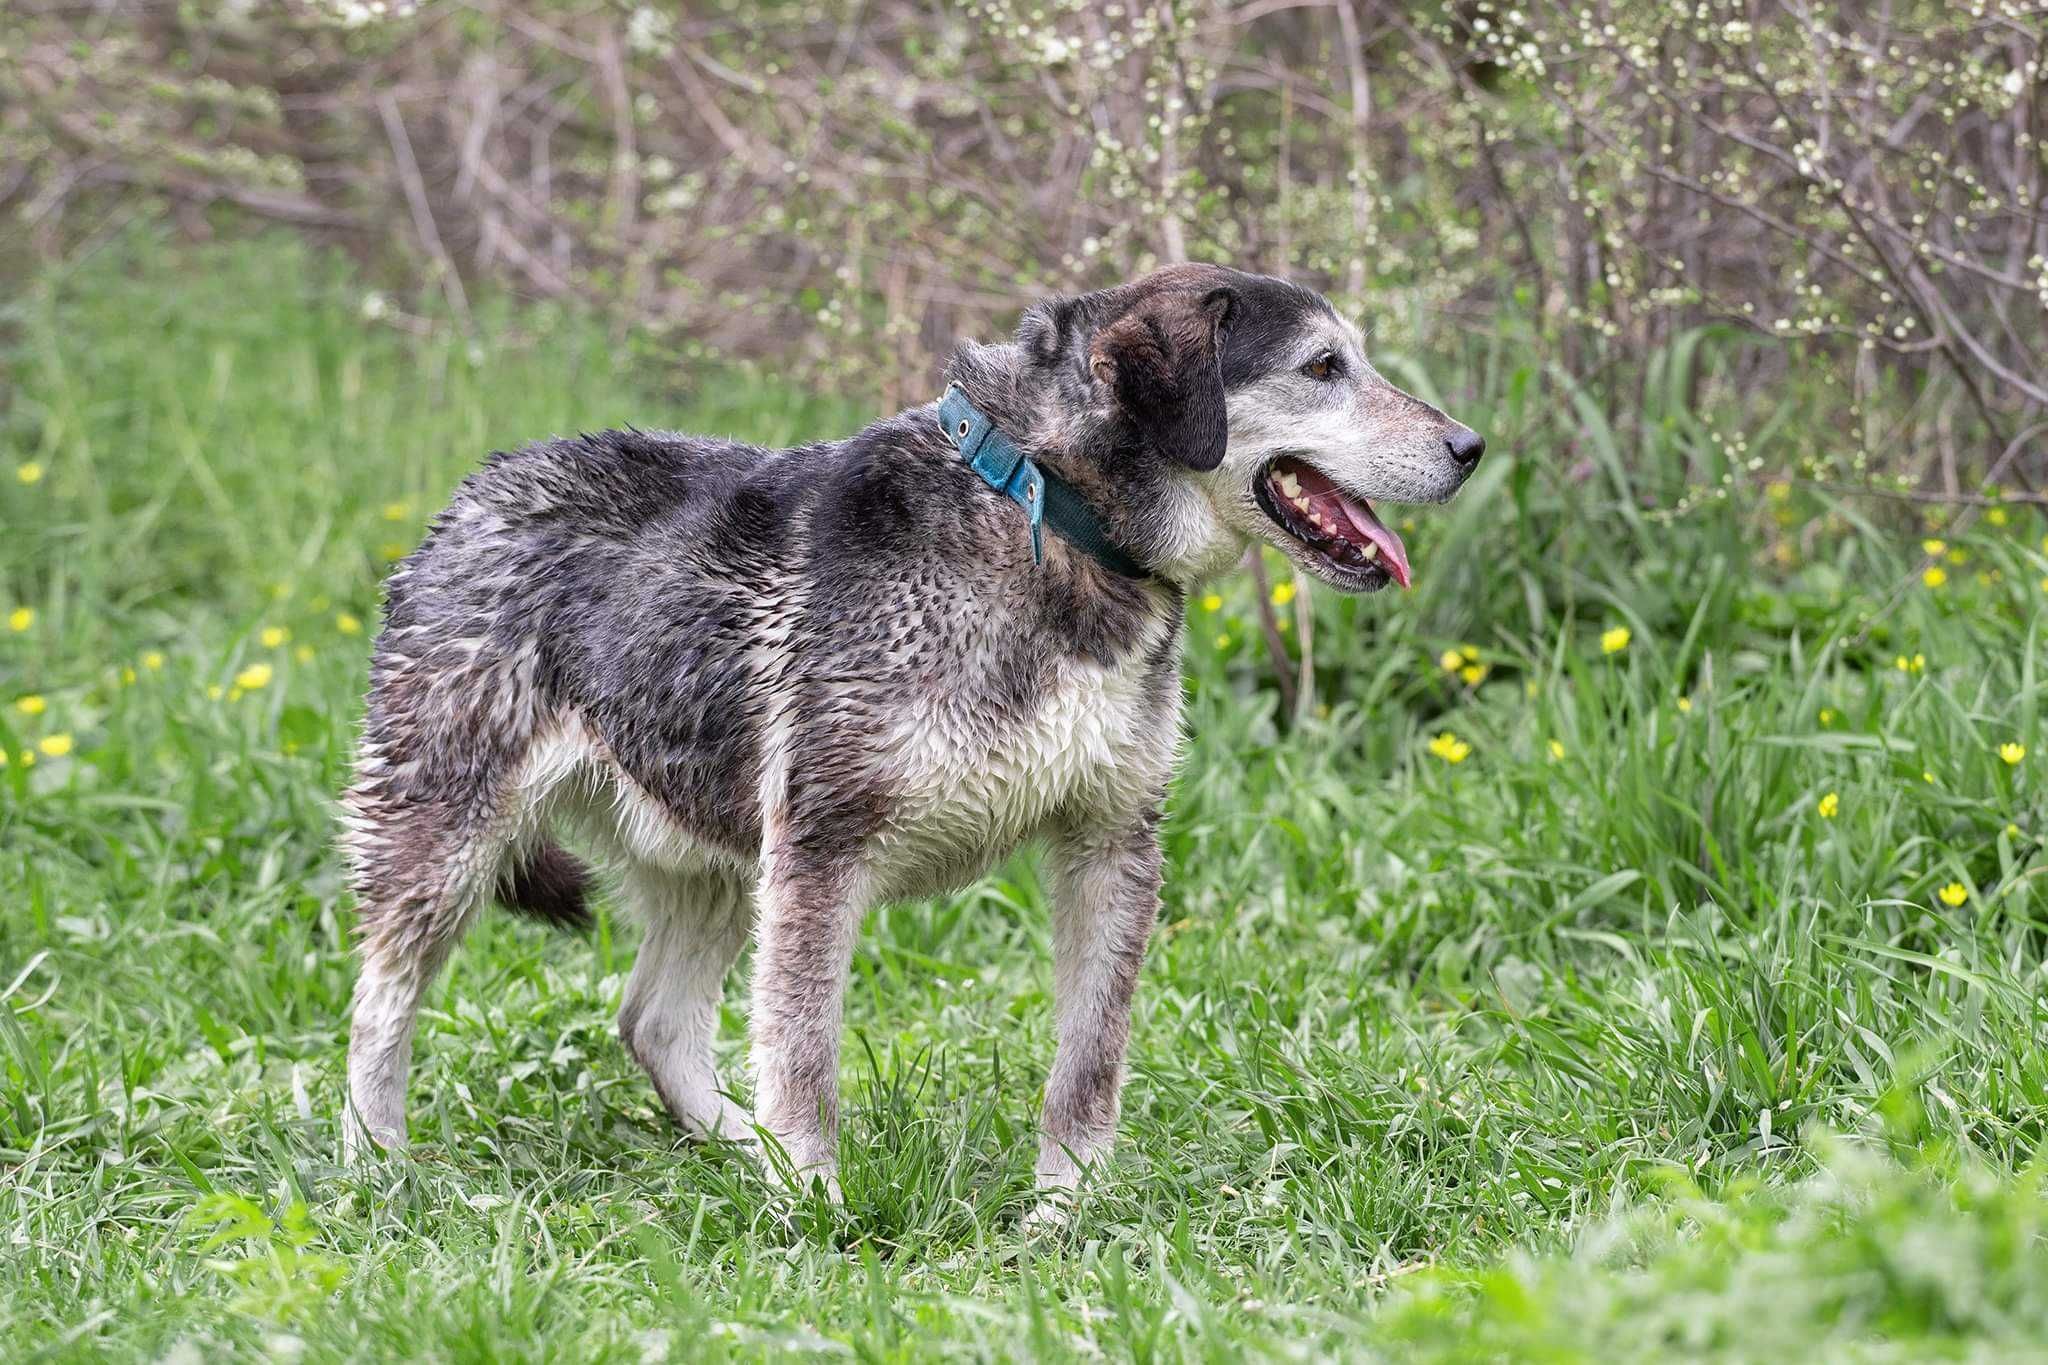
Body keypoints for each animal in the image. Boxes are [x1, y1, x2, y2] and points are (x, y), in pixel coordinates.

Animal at [339, 263, 1490, 1219]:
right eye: (1322, 366)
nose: (1471, 449)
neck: (1046, 514)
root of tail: (473, 492)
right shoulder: (822, 854)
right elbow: (805, 1059)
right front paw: (814, 1207)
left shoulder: (1111, 846)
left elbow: (1087, 1064)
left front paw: (1063, 1215)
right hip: (445, 848)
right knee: (376, 1011)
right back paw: (379, 1171)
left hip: (716, 862)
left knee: (654, 1023)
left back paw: (741, 1150)